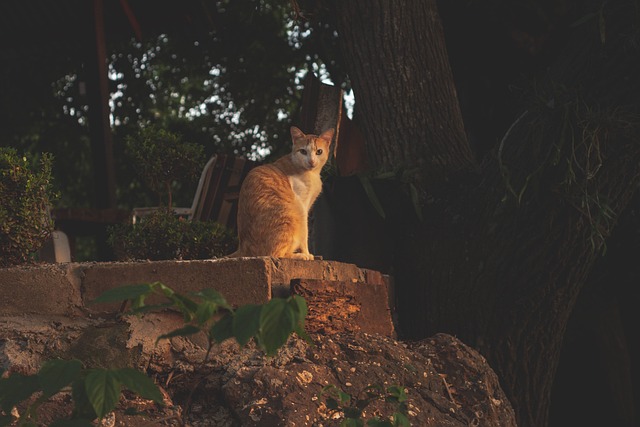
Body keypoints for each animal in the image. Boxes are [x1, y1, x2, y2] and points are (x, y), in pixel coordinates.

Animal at [231, 127, 336, 260]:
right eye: (303, 151)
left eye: (319, 152)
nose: (311, 161)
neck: (312, 174)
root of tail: (242, 249)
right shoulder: (302, 207)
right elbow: (305, 234)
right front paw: (307, 253)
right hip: (292, 214)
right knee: (276, 254)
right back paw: (300, 255)